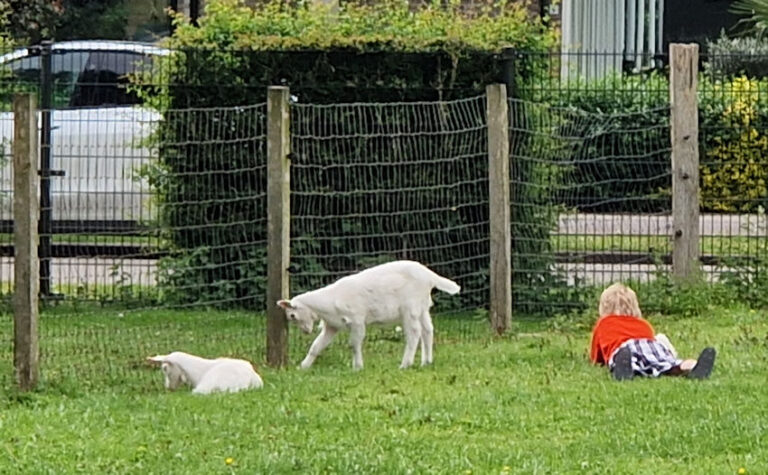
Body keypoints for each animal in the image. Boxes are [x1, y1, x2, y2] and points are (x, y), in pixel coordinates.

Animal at [277, 260, 460, 370]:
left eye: (292, 315)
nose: (306, 332)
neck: (331, 301)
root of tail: (430, 276)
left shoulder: (357, 320)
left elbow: (353, 344)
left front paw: (357, 367)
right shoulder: (332, 325)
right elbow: (316, 346)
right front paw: (303, 366)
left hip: (410, 307)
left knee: (414, 333)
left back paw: (405, 364)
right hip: (422, 307)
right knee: (428, 330)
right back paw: (426, 362)